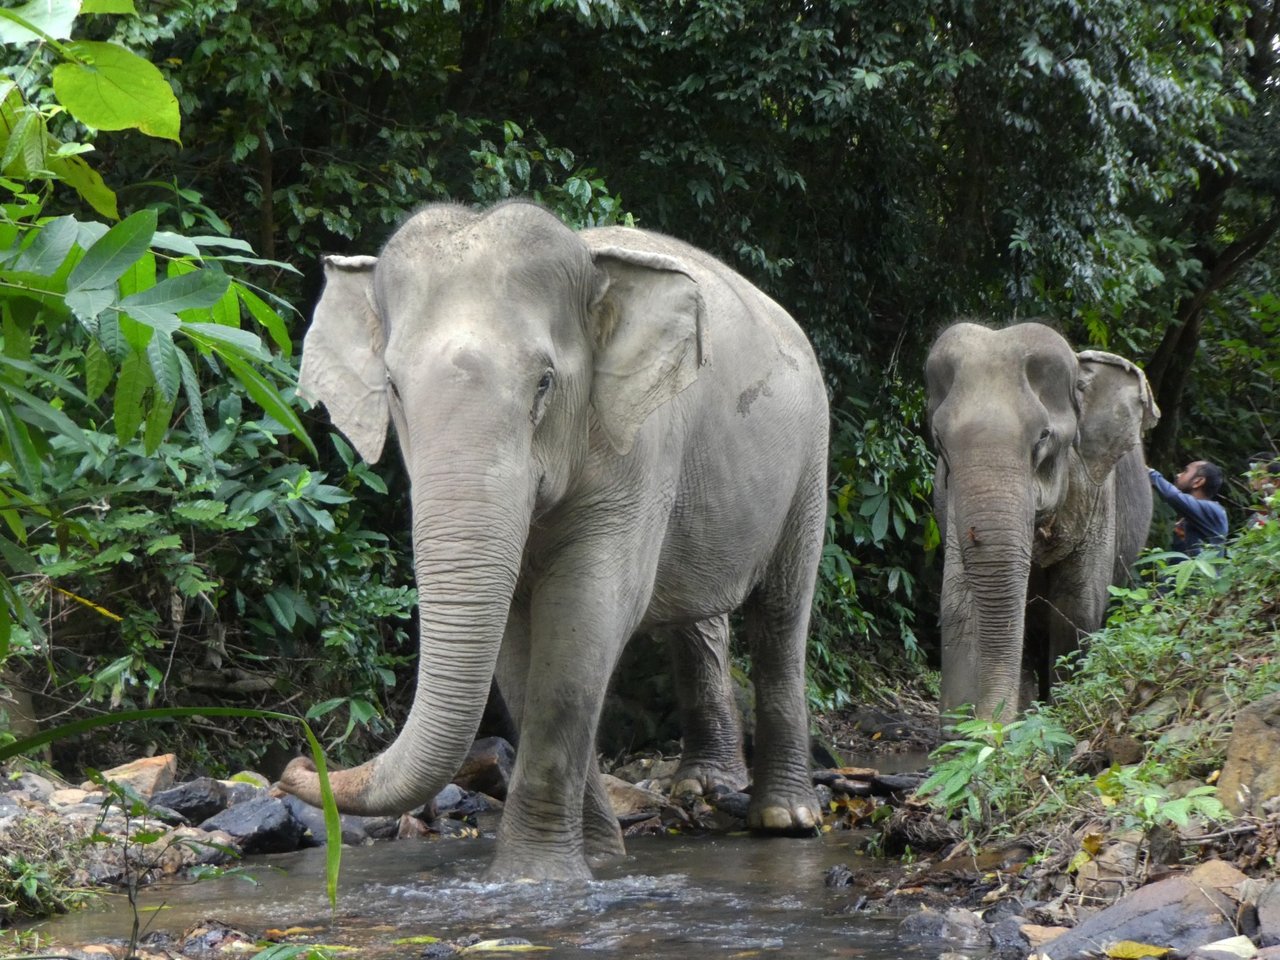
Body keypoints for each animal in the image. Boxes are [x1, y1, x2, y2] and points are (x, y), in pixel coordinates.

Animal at [275, 203, 824, 885]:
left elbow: (584, 612)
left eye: (544, 383)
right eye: (394, 388)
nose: (296, 762)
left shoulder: (640, 447)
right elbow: (517, 635)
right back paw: (702, 787)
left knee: (781, 615)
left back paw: (785, 820)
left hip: (811, 457)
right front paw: (600, 855)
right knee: (699, 621)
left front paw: (536, 878)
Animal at [926, 323, 1167, 721]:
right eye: (940, 442)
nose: (991, 723)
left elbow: (1076, 607)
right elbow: (958, 605)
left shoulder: (1099, 496)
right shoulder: (953, 503)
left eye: (1043, 436)